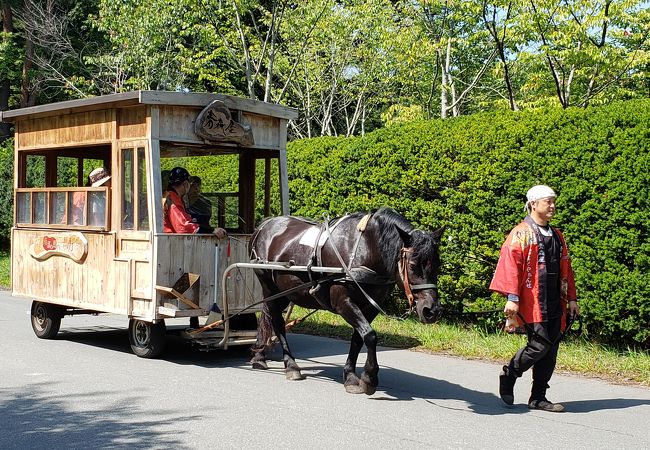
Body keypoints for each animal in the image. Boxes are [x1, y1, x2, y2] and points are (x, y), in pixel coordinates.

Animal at [247, 207, 440, 394]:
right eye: (413, 265)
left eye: (437, 265)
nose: (431, 310)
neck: (364, 248)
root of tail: (264, 225)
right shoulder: (343, 302)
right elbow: (370, 335)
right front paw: (369, 378)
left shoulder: (370, 308)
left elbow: (358, 339)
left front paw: (350, 376)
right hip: (269, 287)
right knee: (277, 323)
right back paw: (290, 365)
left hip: (285, 293)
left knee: (269, 317)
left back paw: (260, 356)